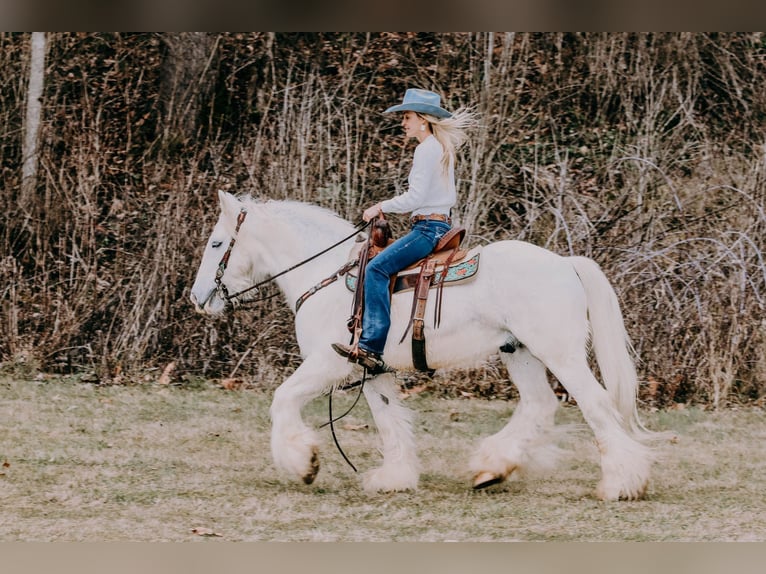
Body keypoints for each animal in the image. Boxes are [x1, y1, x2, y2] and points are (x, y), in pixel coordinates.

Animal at [190, 191, 660, 502]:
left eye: (216, 243)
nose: (197, 297)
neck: (324, 275)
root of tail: (565, 263)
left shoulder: (326, 363)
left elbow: (282, 398)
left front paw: (303, 462)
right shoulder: (370, 368)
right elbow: (389, 421)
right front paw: (394, 477)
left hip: (560, 354)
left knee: (595, 405)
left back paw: (621, 483)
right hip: (519, 352)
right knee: (539, 405)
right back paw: (491, 467)